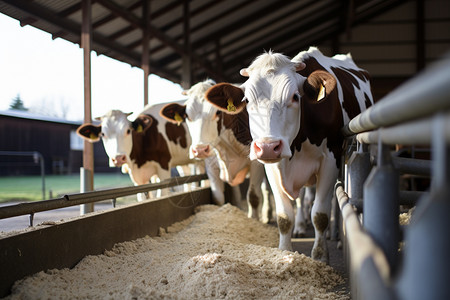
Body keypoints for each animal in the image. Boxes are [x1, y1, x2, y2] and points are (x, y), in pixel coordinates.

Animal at [76, 102, 206, 202]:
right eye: (103, 134)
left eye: (128, 131)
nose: (118, 158)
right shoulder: (138, 180)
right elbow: (143, 198)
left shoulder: (163, 168)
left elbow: (162, 195)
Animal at [161, 79, 270, 223]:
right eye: (187, 116)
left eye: (218, 112)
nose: (200, 150)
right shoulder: (211, 166)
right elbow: (218, 198)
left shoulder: (256, 163)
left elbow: (254, 196)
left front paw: (253, 221)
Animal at [204, 47, 372, 262]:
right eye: (247, 100)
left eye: (295, 97)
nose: (268, 146)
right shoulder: (272, 166)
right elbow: (284, 217)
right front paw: (284, 252)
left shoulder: (330, 160)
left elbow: (320, 214)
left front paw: (320, 257)